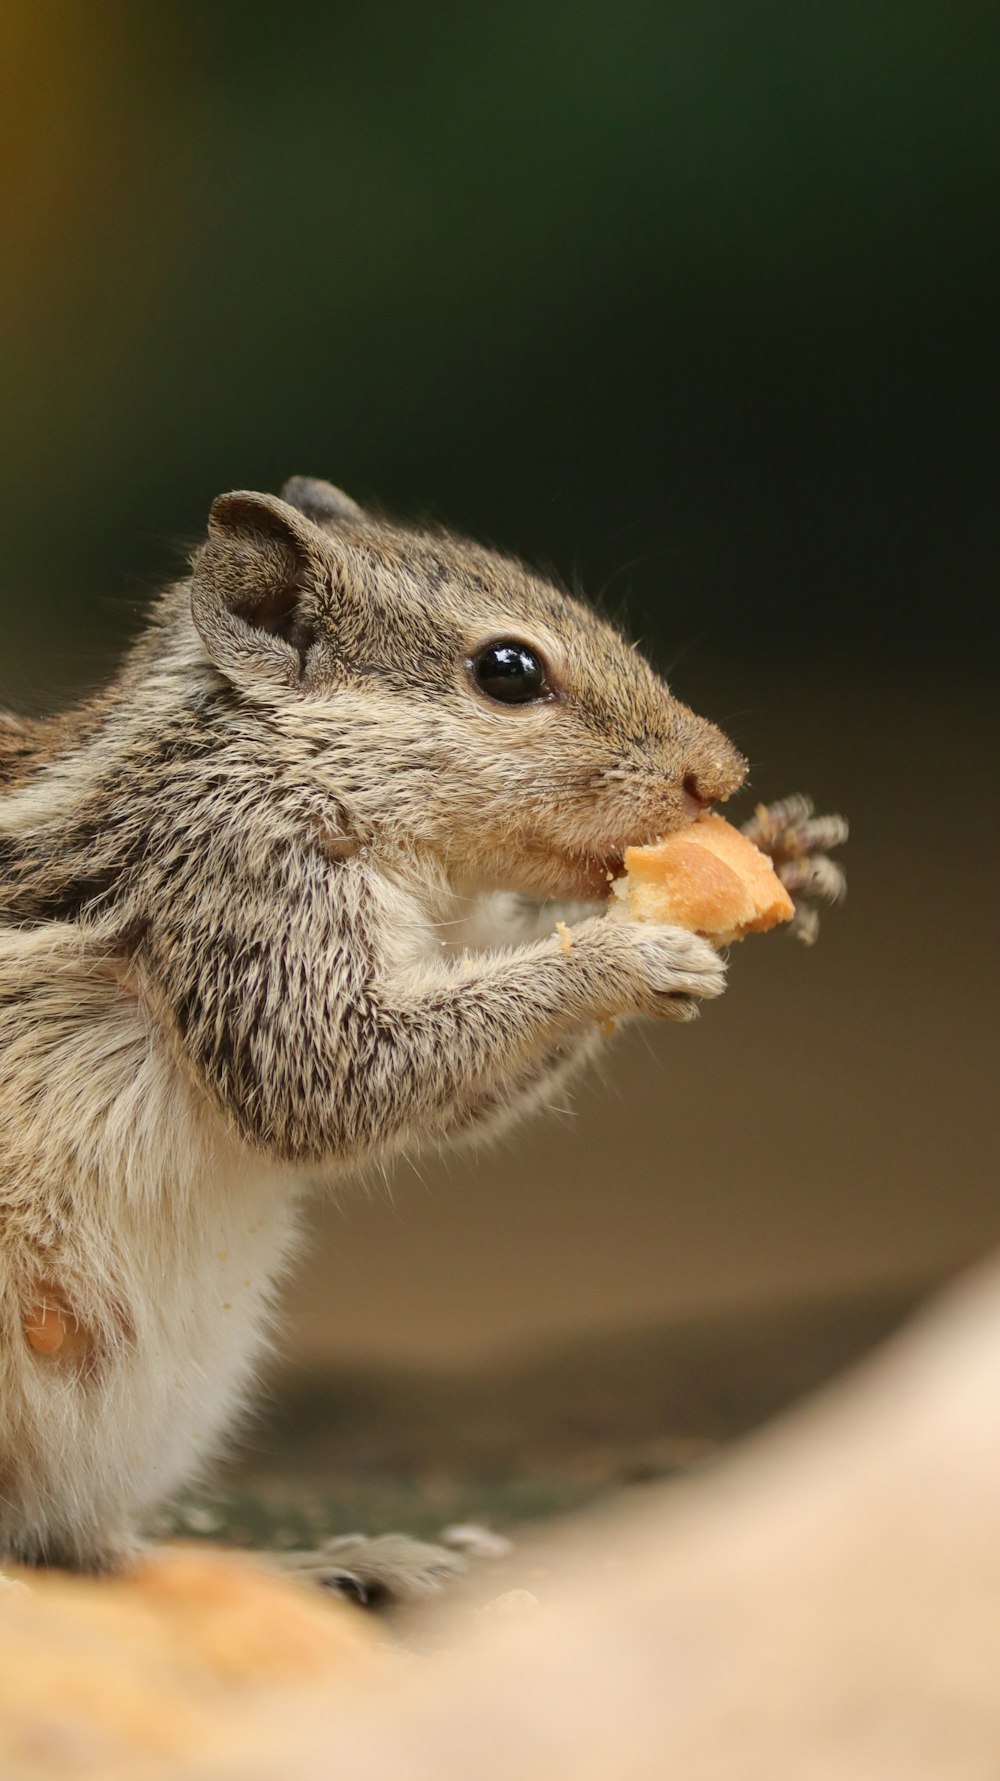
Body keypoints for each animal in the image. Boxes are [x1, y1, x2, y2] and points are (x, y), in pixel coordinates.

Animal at [0, 477, 841, 1602]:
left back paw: (337, 1561)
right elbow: (332, 1074)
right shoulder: (243, 886)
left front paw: (783, 850)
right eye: (508, 671)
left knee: (90, 1547)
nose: (721, 773)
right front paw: (623, 950)